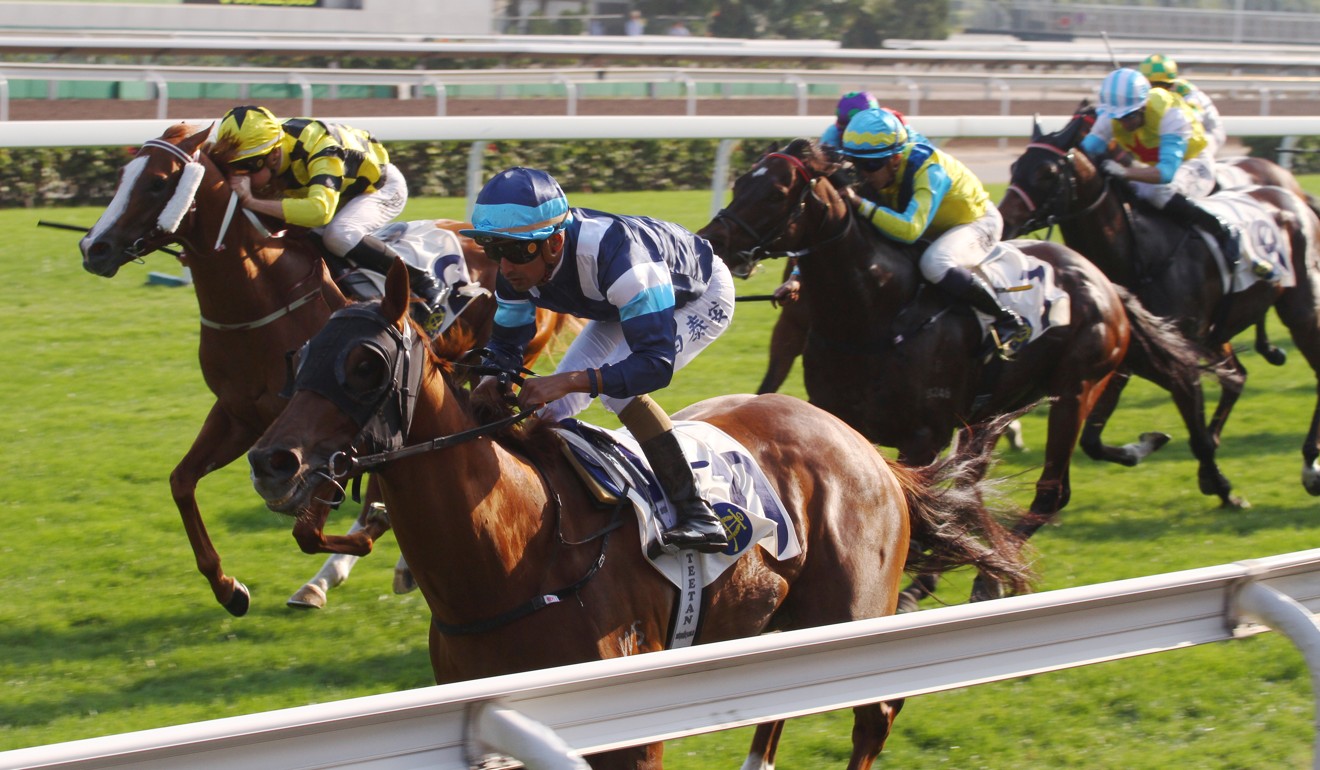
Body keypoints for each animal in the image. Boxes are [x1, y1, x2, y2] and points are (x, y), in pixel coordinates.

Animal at [75, 120, 572, 615]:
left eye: (158, 183)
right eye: (122, 174)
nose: (93, 247)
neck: (263, 298)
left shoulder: (321, 432)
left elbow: (309, 530)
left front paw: (359, 541)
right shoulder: (240, 415)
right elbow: (181, 482)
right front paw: (228, 587)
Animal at [245, 260, 1029, 770]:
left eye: (367, 363)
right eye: (297, 357)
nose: (272, 461)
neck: (513, 554)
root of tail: (868, 451)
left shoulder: (625, 729)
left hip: (853, 619)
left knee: (876, 714)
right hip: (782, 625)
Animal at [702, 138, 1209, 607]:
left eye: (777, 192)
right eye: (741, 182)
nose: (715, 240)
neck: (876, 314)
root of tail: (1100, 278)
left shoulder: (924, 436)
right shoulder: (837, 425)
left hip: (1075, 389)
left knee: (1050, 491)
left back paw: (987, 575)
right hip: (997, 408)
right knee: (973, 489)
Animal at [997, 112, 1320, 499]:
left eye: (1047, 172)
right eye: (1015, 166)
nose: (1003, 219)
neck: (1138, 255)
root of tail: (1294, 196)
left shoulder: (1178, 359)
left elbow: (1196, 436)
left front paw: (1223, 488)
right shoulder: (1128, 353)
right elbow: (1091, 440)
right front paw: (1142, 450)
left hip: (1300, 309)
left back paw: (1309, 464)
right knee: (1237, 376)